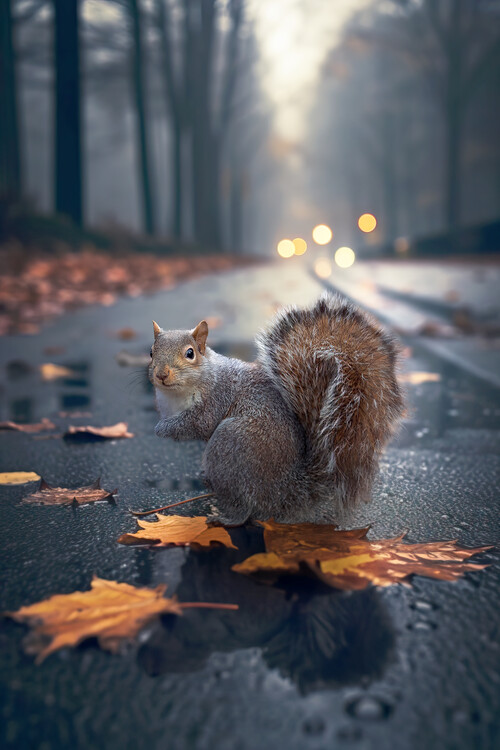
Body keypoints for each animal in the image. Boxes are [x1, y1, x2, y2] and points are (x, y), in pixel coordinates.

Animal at [149, 294, 404, 526]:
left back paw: (223, 518)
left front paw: (161, 429)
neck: (177, 394)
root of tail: (285, 489)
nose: (161, 374)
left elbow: (198, 424)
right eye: (151, 352)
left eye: (190, 353)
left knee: (243, 509)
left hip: (230, 445)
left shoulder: (216, 397)